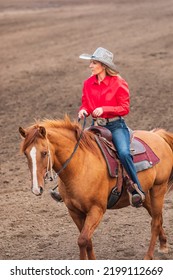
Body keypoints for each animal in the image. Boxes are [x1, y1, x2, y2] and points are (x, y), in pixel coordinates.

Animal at [19, 116, 173, 260]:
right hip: (145, 195)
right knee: (157, 217)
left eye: (44, 152)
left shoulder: (96, 210)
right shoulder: (74, 211)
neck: (80, 167)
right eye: (26, 154)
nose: (36, 188)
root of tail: (157, 135)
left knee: (155, 222)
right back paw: (163, 245)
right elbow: (87, 241)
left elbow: (82, 240)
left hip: (158, 188)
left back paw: (148, 256)